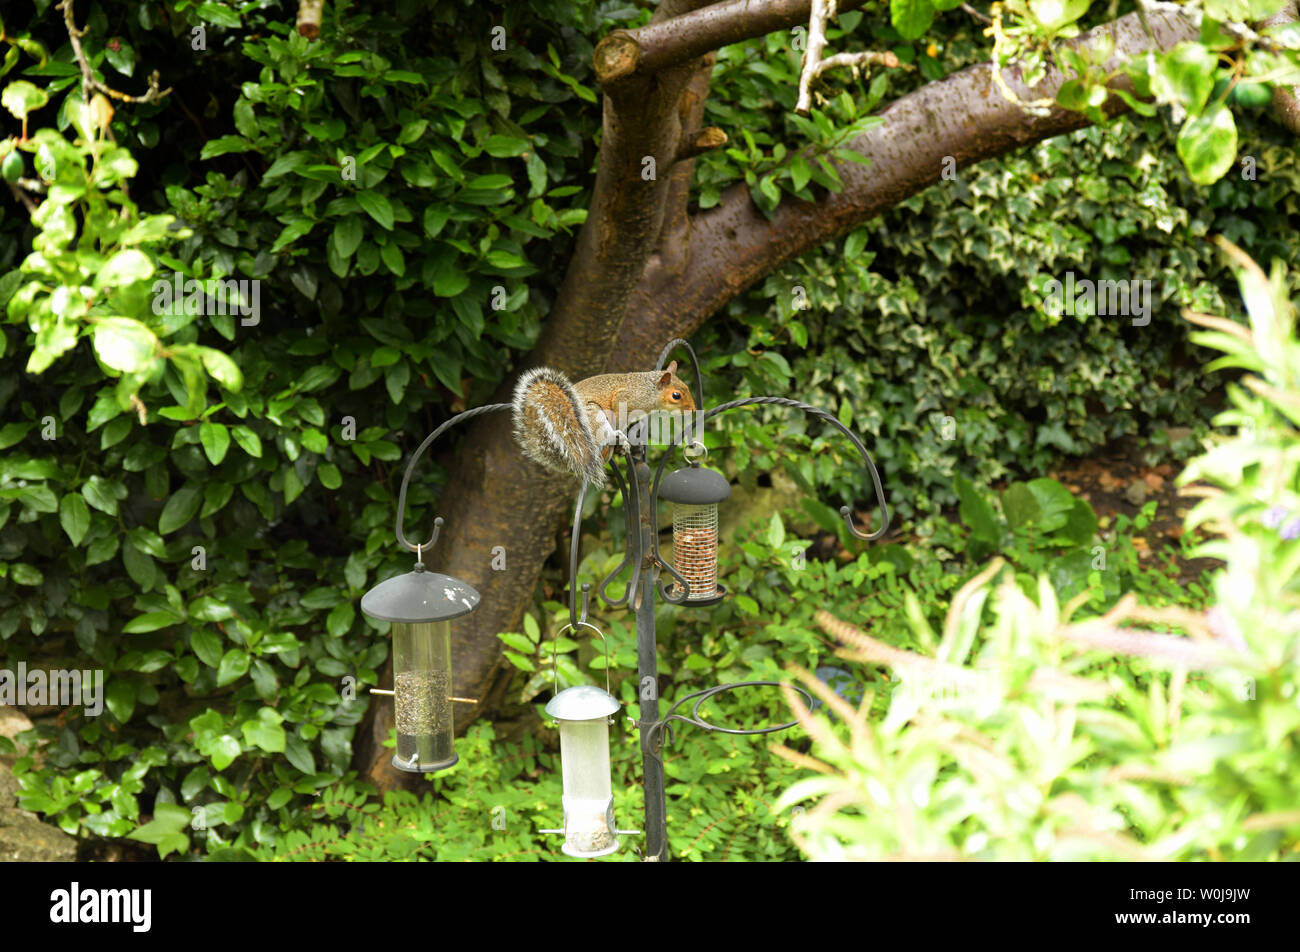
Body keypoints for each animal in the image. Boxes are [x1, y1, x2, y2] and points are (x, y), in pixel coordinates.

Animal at [511, 361, 696, 486]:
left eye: (687, 388)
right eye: (676, 395)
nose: (693, 410)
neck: (649, 391)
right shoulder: (624, 399)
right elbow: (620, 419)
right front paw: (621, 434)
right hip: (593, 417)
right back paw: (615, 438)